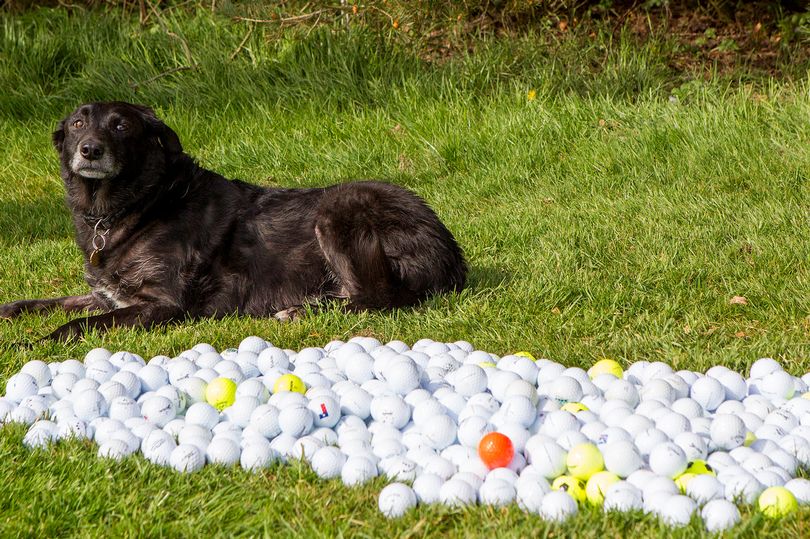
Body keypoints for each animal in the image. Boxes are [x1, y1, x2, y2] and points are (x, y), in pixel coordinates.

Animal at [0, 101, 467, 340]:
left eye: (120, 126)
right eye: (78, 123)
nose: (90, 150)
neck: (145, 201)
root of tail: (450, 253)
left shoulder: (162, 303)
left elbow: (78, 323)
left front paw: (37, 342)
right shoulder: (108, 294)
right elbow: (47, 303)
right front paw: (10, 311)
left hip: (340, 208)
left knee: (377, 297)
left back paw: (296, 312)